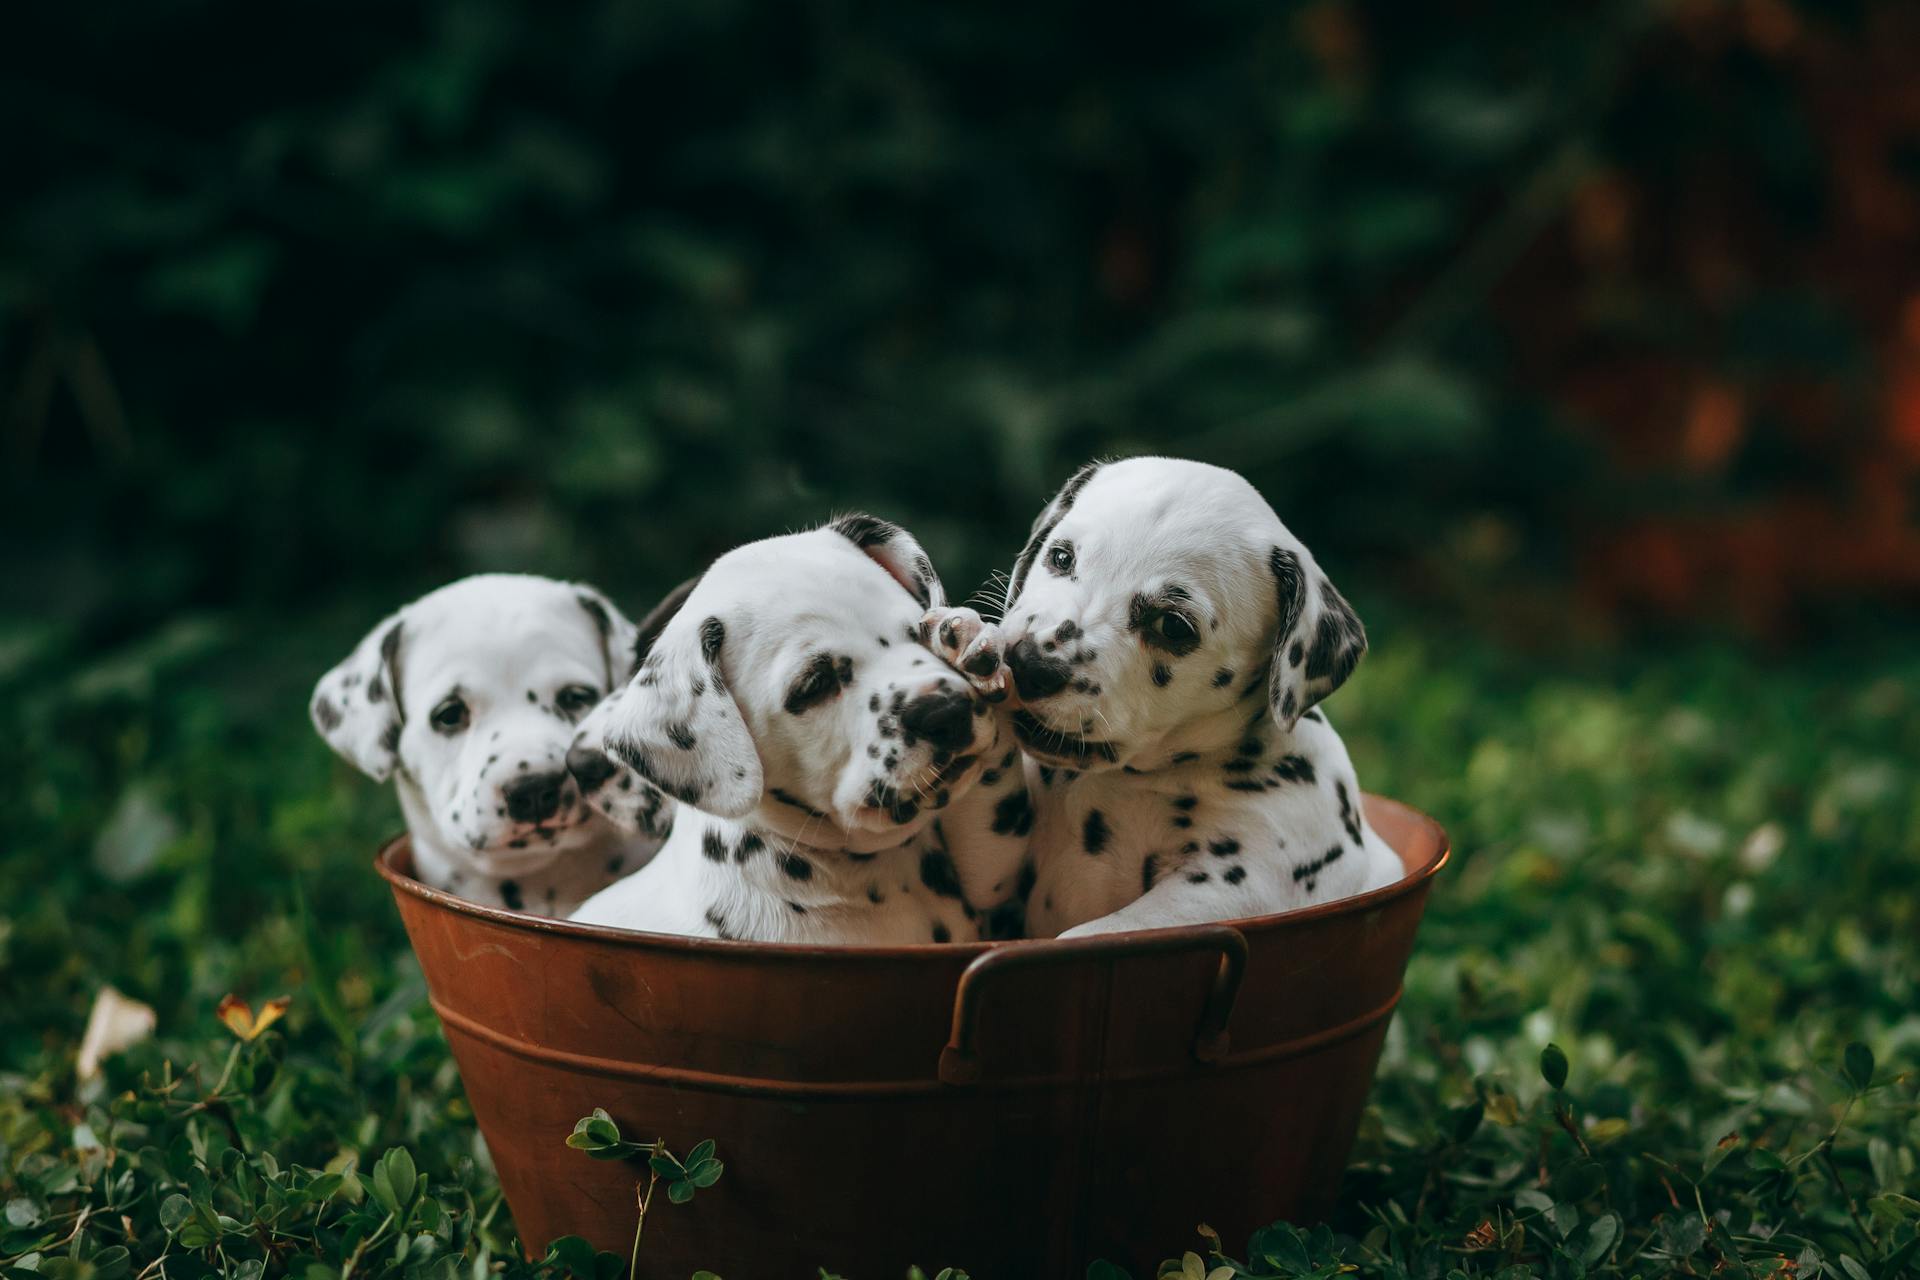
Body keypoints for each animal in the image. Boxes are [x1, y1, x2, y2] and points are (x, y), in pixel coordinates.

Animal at [925, 454, 1397, 936]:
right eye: (1061, 556)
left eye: (1172, 625)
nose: (1028, 663)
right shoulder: (996, 872)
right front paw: (969, 646)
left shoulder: (1236, 889)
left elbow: (1087, 934)